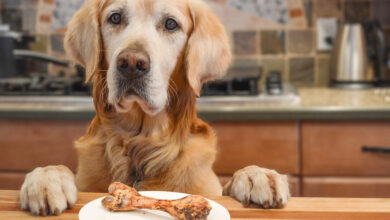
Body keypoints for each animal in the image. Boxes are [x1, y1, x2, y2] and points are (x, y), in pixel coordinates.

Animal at [20, 0, 290, 217]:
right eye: (115, 18)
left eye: (171, 24)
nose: (131, 63)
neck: (141, 146)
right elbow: (58, 170)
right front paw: (46, 178)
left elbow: (230, 181)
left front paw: (257, 175)